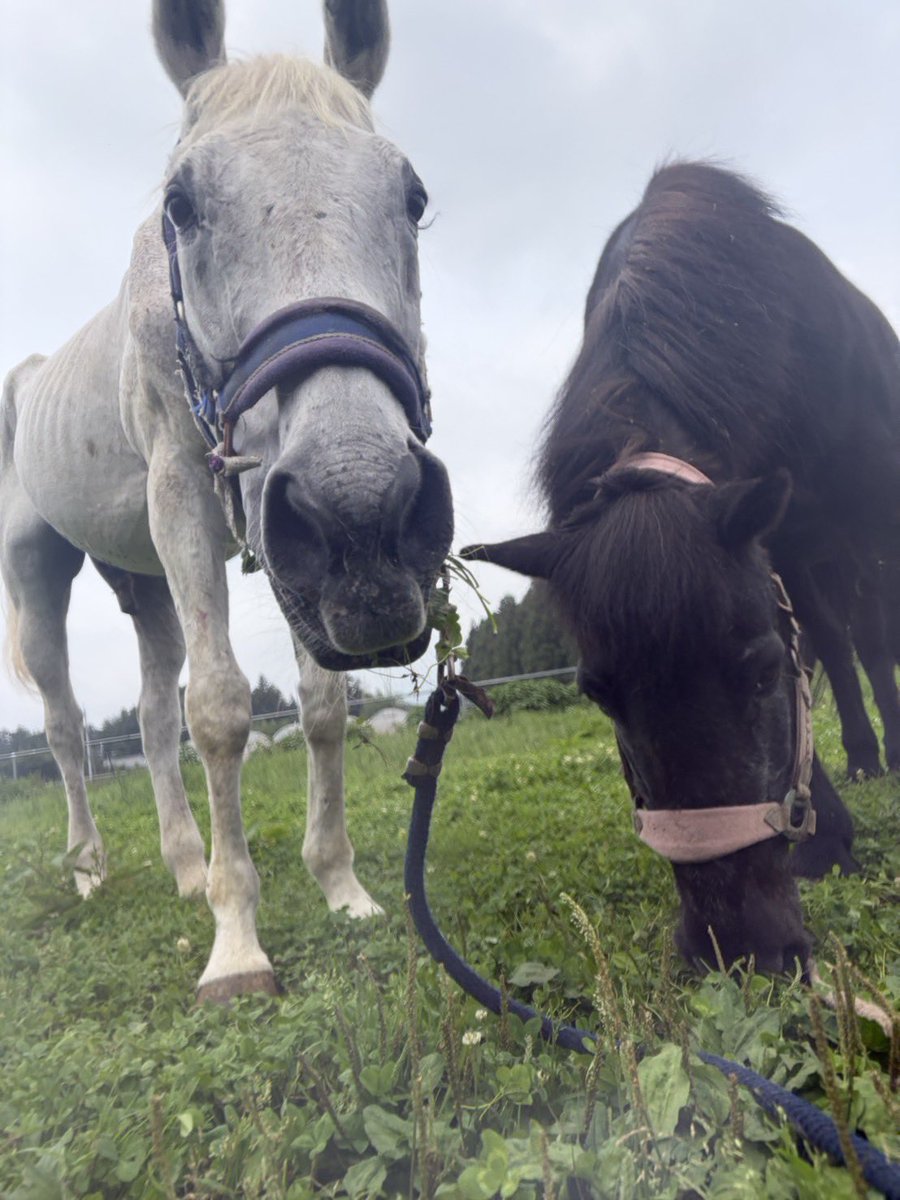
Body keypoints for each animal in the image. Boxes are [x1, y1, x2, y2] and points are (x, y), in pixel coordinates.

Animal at [0, 0, 453, 1002]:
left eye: (412, 198)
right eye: (181, 204)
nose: (363, 503)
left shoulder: (293, 551)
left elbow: (320, 705)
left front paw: (341, 886)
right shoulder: (183, 499)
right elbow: (220, 709)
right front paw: (237, 940)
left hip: (144, 583)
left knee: (150, 715)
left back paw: (182, 866)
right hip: (40, 572)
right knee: (66, 723)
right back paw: (89, 867)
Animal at [464, 161, 900, 973]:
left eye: (759, 671)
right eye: (599, 694)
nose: (741, 948)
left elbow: (822, 654)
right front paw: (824, 833)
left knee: (866, 639)